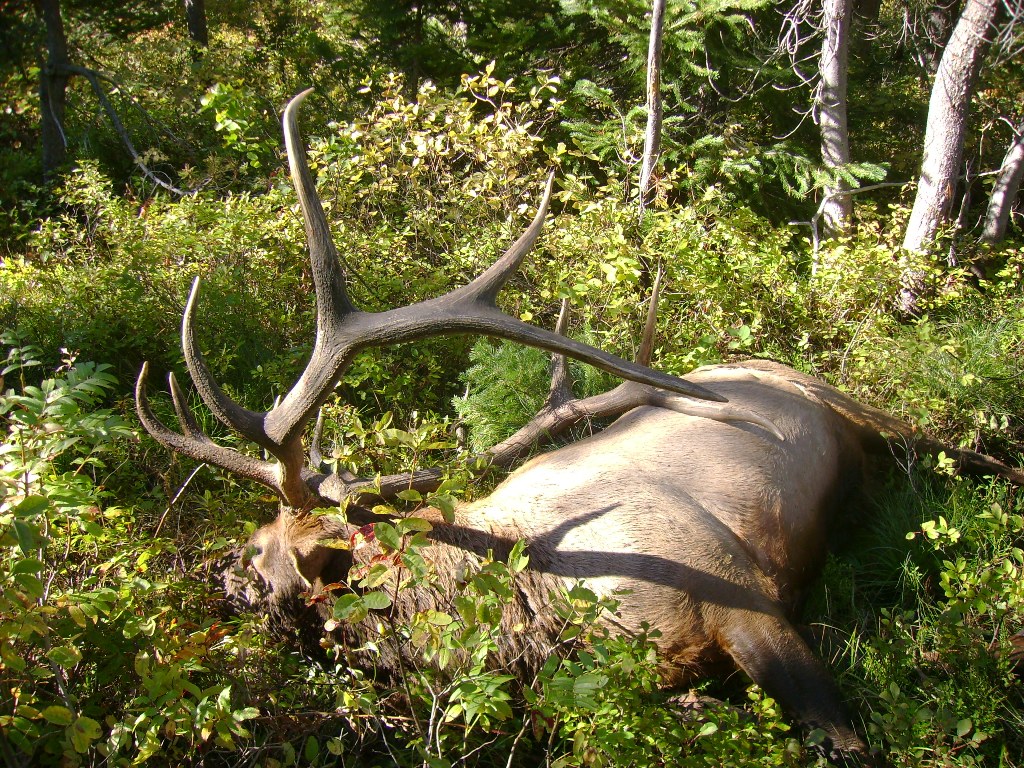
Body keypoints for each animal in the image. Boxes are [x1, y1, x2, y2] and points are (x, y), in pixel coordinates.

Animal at [136, 91, 1024, 765]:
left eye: (260, 548)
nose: (214, 570)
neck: (532, 605)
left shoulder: (744, 596)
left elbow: (845, 740)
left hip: (860, 409)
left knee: (964, 448)